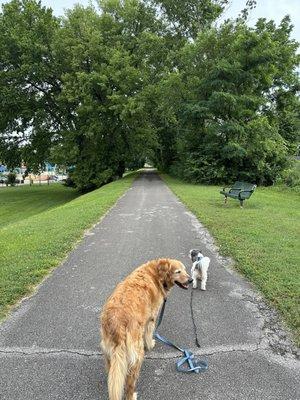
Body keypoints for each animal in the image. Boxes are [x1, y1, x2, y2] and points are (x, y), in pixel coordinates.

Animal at [99, 258, 191, 398]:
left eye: (185, 270)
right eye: (178, 271)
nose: (191, 280)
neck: (156, 274)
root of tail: (117, 322)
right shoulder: (152, 318)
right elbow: (148, 334)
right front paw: (150, 344)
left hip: (110, 354)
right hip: (136, 355)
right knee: (129, 383)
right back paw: (132, 395)